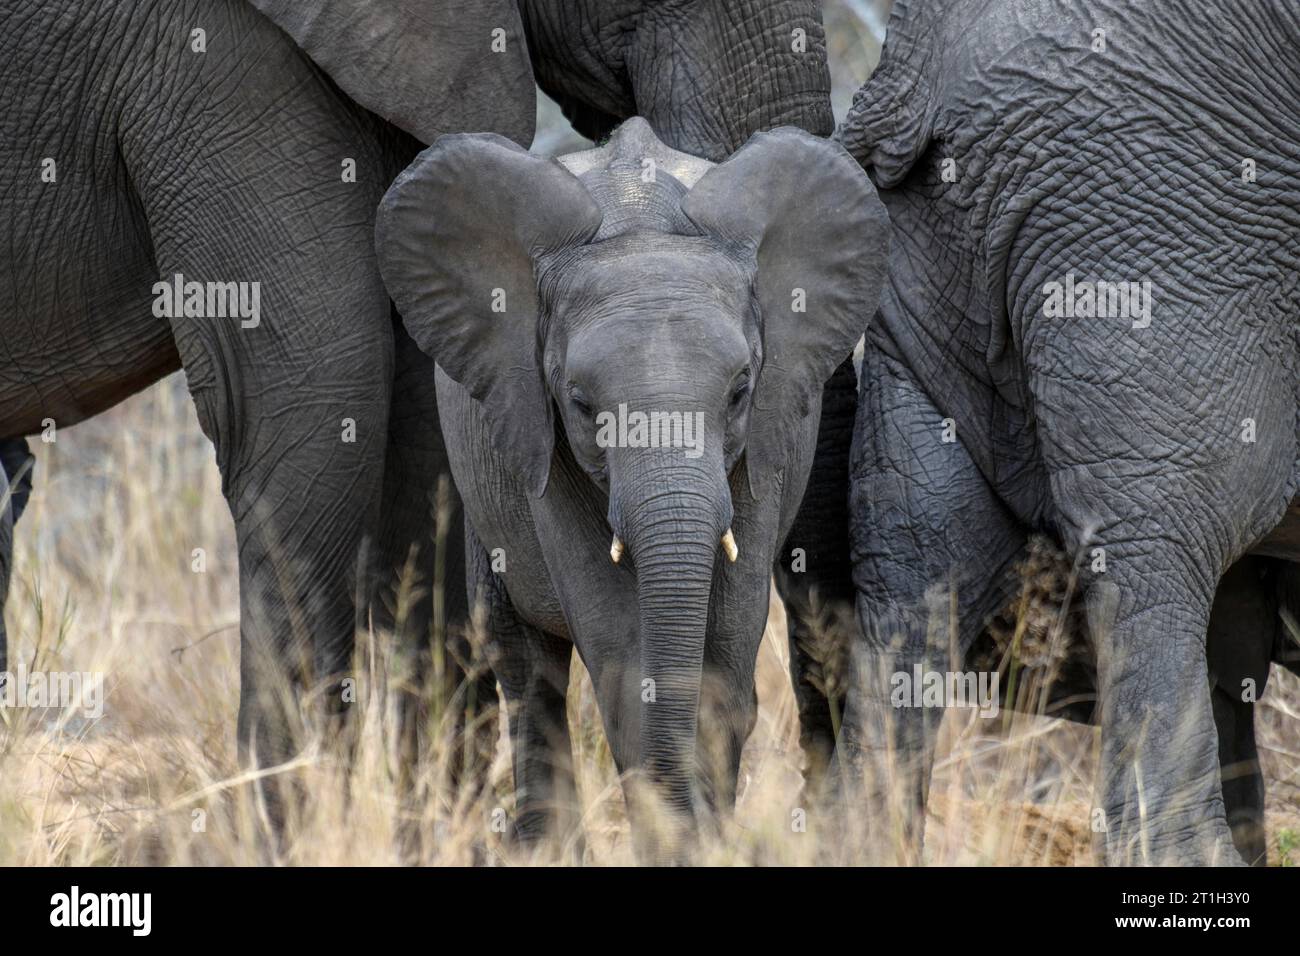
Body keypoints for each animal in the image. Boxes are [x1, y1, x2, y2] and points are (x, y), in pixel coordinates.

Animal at [371, 115, 889, 858]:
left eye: (739, 392)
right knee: (525, 669)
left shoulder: (768, 439)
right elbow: (619, 653)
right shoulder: (544, 441)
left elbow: (725, 663)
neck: (640, 218)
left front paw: (704, 842)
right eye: (583, 404)